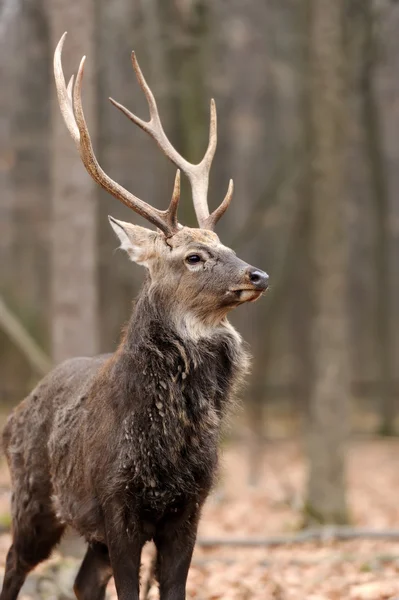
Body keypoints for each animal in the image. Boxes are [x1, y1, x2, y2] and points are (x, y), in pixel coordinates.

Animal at [0, 31, 268, 600]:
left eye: (227, 245)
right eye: (194, 256)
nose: (258, 275)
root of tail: (14, 414)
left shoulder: (190, 508)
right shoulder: (116, 505)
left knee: (83, 581)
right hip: (33, 496)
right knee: (13, 563)